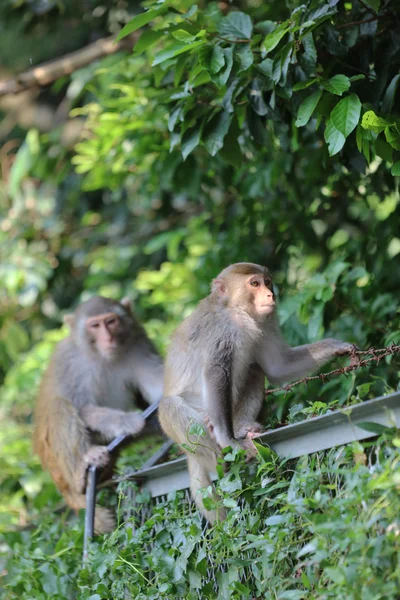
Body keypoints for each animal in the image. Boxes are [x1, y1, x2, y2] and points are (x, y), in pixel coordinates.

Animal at [32, 298, 163, 532]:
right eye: (95, 326)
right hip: (55, 464)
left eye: (111, 321)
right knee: (59, 406)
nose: (108, 338)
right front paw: (128, 420)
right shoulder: (71, 362)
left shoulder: (139, 341)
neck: (102, 357)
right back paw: (81, 475)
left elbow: (157, 387)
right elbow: (82, 408)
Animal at [158, 260, 354, 524]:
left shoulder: (266, 321)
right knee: (170, 407)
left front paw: (335, 345)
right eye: (254, 283)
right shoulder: (225, 326)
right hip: (190, 429)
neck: (236, 308)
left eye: (267, 282)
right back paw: (222, 455)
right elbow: (216, 371)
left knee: (254, 369)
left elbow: (278, 366)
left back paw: (243, 428)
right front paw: (227, 439)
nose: (271, 295)